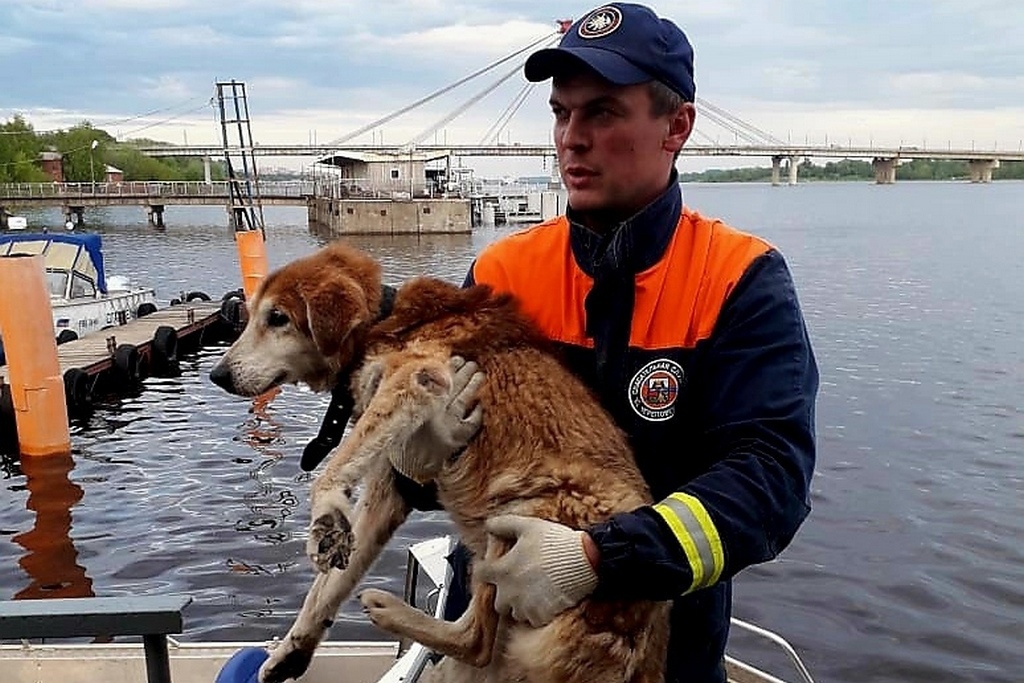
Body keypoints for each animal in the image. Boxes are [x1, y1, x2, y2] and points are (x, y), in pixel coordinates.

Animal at [208, 244, 671, 683]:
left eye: (278, 317)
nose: (218, 375)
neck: (381, 321)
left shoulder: (418, 376)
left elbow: (329, 474)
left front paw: (325, 515)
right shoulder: (390, 483)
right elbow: (327, 587)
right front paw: (290, 654)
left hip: (520, 521)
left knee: (476, 639)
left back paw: (390, 609)